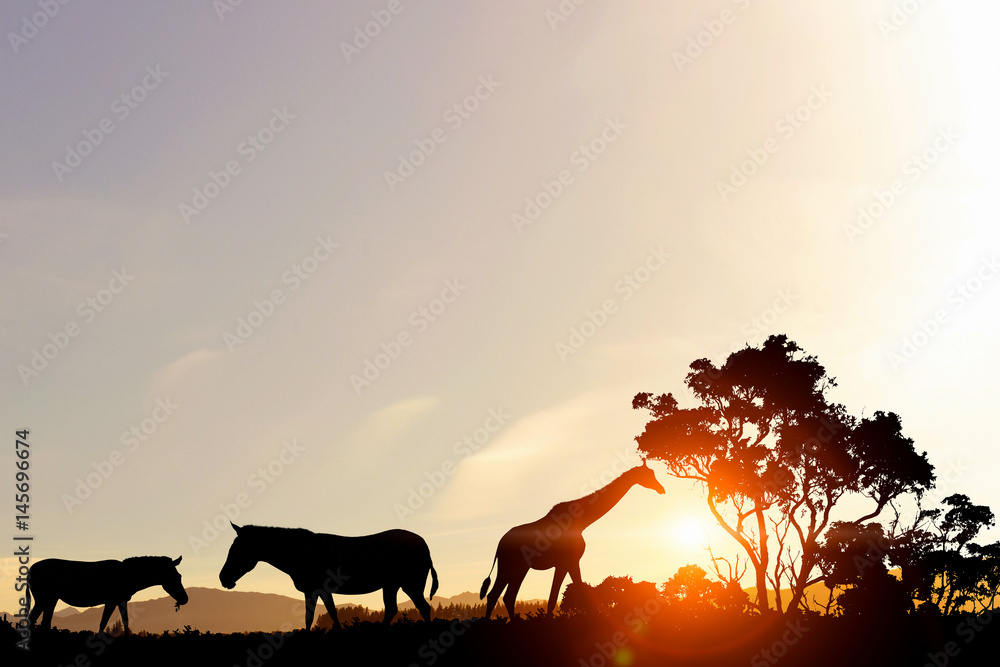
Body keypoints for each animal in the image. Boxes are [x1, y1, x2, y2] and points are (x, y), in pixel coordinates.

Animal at [482, 462, 668, 620]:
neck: (582, 522)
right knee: (505, 595)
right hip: (516, 567)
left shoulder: (566, 563)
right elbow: (562, 595)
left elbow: (559, 595)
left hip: (511, 567)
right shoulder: (569, 561)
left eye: (653, 473)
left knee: (499, 595)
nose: (662, 489)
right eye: (648, 474)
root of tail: (500, 543)